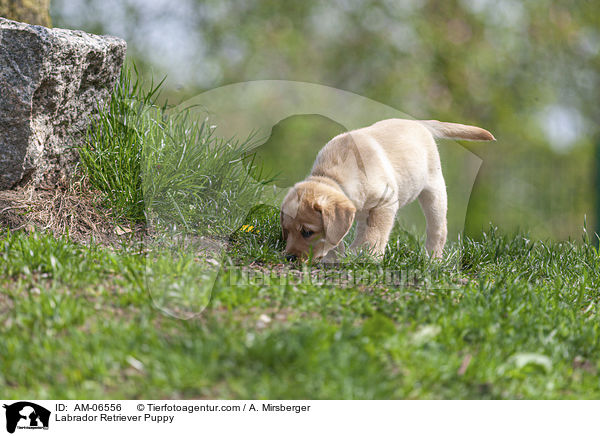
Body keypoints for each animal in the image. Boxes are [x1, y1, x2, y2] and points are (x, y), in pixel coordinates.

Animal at [278, 117, 494, 260]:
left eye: (307, 232)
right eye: (286, 230)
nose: (289, 257)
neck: (334, 177)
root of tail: (419, 123)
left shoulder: (385, 202)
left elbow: (376, 233)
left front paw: (368, 256)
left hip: (434, 191)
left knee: (438, 229)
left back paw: (432, 259)